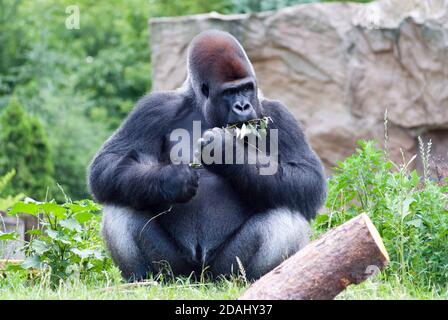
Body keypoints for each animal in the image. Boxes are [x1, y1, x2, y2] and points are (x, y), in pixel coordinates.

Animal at [88, 29, 326, 280]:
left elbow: (307, 177)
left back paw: (262, 277)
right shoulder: (153, 108)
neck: (202, 108)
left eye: (246, 88)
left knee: (285, 212)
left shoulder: (278, 114)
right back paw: (144, 278)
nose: (243, 106)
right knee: (121, 203)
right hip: (177, 270)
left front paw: (227, 152)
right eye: (230, 92)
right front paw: (172, 180)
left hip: (225, 269)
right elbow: (109, 161)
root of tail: (200, 276)